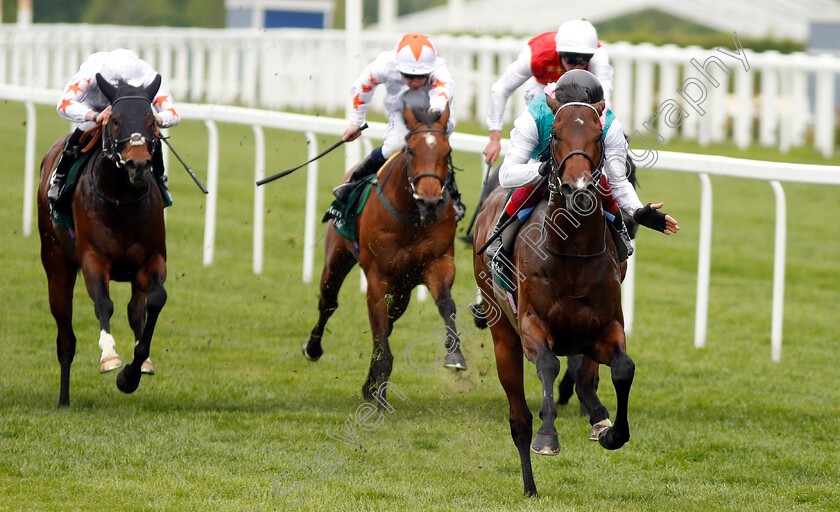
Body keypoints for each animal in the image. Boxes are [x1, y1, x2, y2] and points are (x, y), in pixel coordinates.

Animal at [37, 73, 167, 408]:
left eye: (151, 121)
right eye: (116, 120)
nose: (137, 164)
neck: (122, 200)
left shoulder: (152, 260)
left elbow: (155, 301)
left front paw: (132, 373)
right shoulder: (93, 259)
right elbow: (103, 304)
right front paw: (110, 357)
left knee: (136, 309)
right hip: (56, 263)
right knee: (65, 336)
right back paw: (64, 400)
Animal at [302, 104, 466, 400]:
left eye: (447, 152)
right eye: (411, 150)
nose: (430, 201)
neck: (411, 218)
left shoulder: (438, 263)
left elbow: (446, 304)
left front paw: (455, 355)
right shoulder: (378, 277)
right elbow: (377, 328)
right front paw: (378, 392)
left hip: (403, 288)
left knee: (389, 321)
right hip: (338, 257)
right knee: (328, 301)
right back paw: (313, 348)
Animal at [472, 96, 636, 496]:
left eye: (598, 136)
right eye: (556, 134)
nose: (578, 189)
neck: (572, 256)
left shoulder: (603, 330)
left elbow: (623, 368)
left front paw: (611, 432)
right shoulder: (532, 326)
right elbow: (548, 364)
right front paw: (548, 435)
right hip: (503, 335)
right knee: (518, 418)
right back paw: (530, 485)